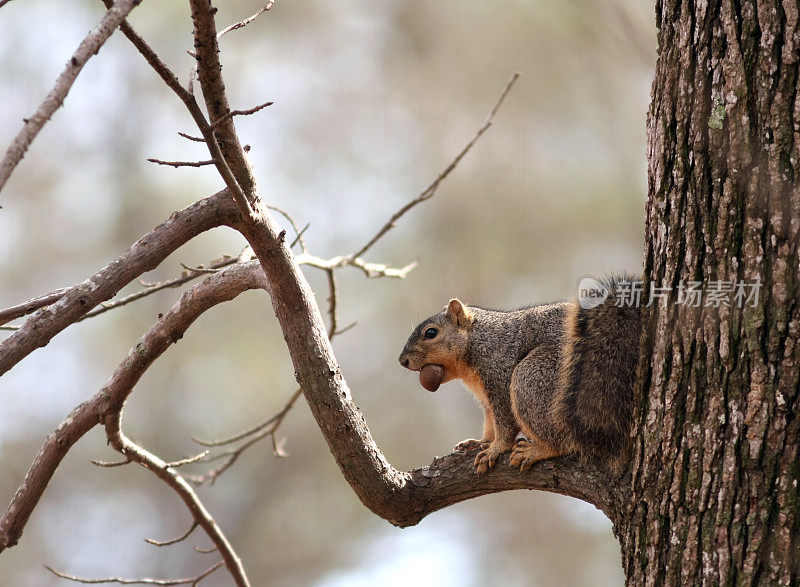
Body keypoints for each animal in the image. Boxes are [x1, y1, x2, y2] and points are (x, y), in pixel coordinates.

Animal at [396, 274, 640, 474]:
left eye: (431, 333)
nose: (402, 361)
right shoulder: (487, 399)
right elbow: (490, 422)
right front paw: (480, 441)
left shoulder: (499, 372)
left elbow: (505, 423)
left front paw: (495, 449)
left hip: (532, 377)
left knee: (564, 441)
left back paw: (538, 450)